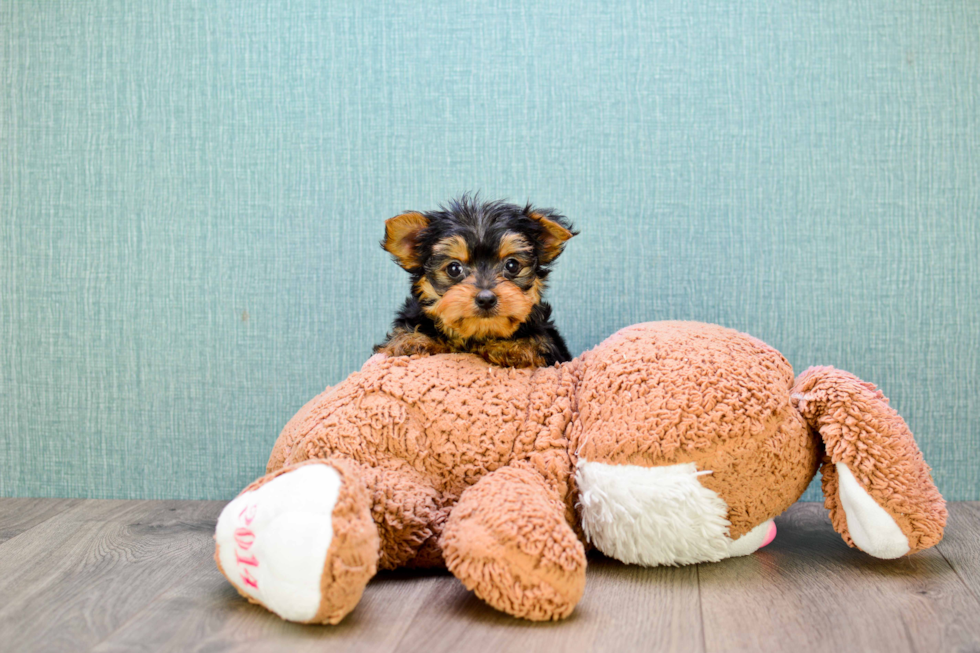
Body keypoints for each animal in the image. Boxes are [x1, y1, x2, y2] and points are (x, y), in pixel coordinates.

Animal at [374, 195, 576, 366]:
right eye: (454, 269)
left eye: (512, 265)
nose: (486, 299)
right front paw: (412, 340)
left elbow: (538, 341)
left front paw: (511, 348)